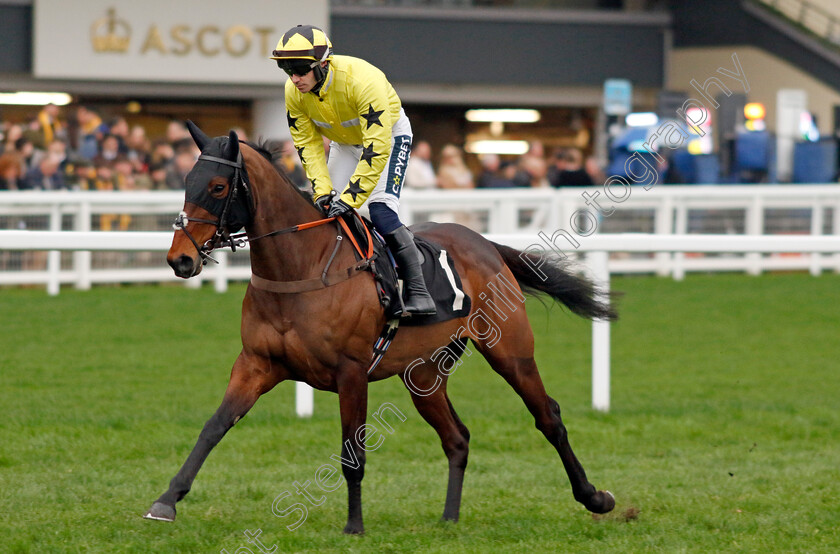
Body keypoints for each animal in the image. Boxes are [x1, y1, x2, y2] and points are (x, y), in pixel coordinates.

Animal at [144, 123, 616, 532]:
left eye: (218, 187)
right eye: (186, 182)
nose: (180, 259)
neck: (302, 265)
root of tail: (485, 244)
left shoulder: (351, 371)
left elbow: (352, 453)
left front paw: (354, 525)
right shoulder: (256, 364)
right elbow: (214, 427)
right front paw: (166, 501)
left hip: (510, 351)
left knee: (548, 416)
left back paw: (594, 497)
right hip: (424, 374)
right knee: (457, 437)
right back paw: (449, 518)